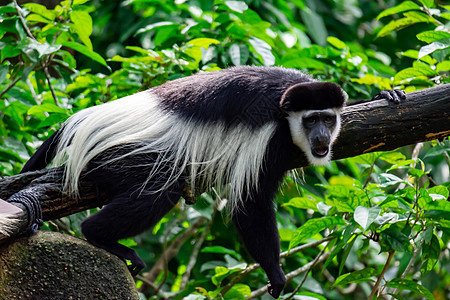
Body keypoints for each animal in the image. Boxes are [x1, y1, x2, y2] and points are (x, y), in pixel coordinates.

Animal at [17, 67, 406, 298]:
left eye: (327, 118)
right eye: (311, 121)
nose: (322, 137)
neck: (287, 112)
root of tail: (81, 122)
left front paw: (385, 96)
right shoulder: (267, 136)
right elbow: (250, 204)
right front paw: (276, 274)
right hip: (123, 153)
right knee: (158, 190)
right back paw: (100, 236)